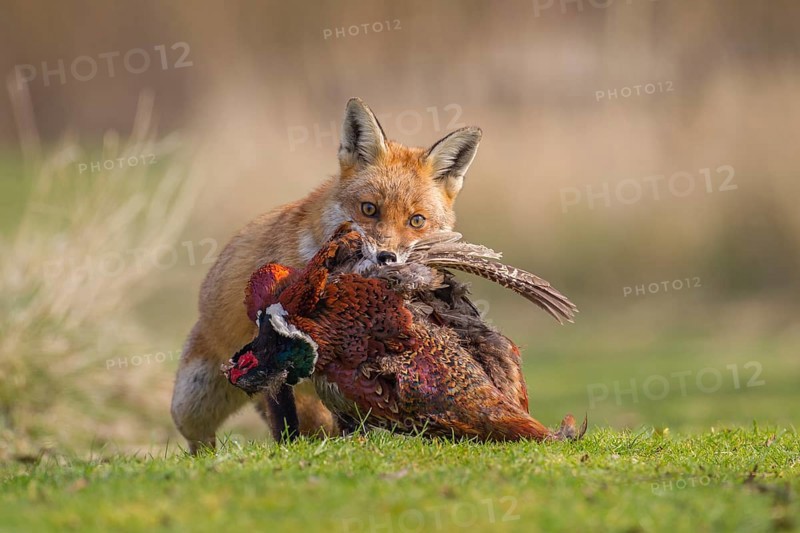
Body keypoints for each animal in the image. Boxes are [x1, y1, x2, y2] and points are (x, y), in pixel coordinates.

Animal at [170, 98, 482, 453]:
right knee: (205, 440)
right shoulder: (269, 341)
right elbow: (283, 410)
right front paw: (288, 447)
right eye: (369, 209)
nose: (386, 257)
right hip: (190, 404)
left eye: (416, 220)